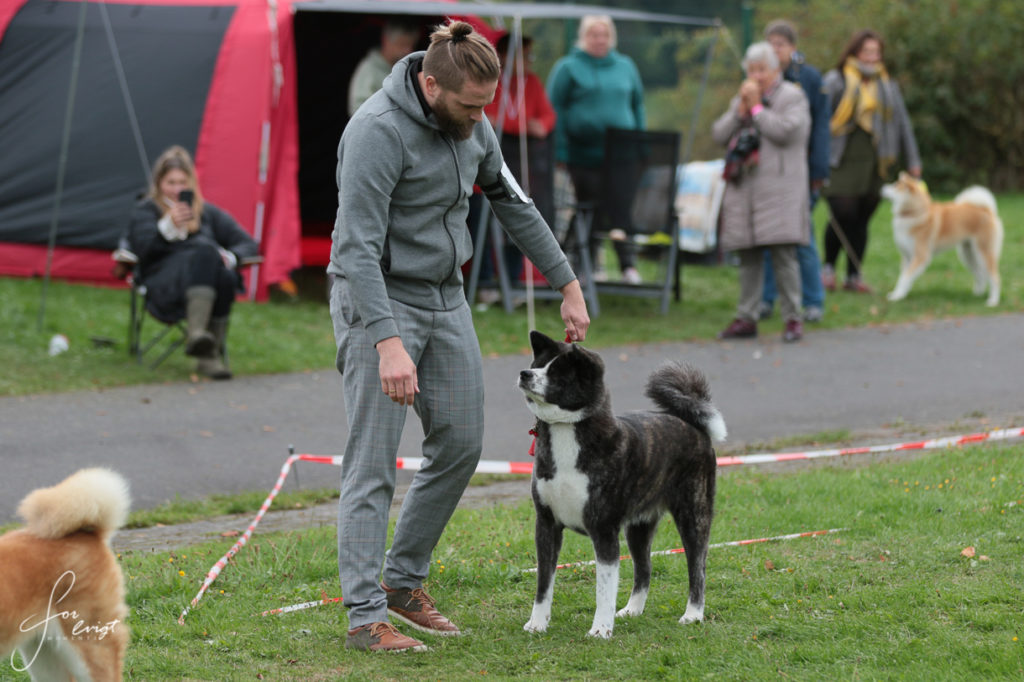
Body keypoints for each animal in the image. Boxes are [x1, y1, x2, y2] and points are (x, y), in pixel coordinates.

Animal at [516, 329, 724, 638]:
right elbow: (544, 583)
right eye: (539, 363)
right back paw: (632, 610)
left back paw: (693, 614)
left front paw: (600, 629)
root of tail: (693, 425)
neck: (567, 431)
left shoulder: (603, 529)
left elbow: (604, 588)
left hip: (693, 515)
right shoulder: (546, 525)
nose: (525, 373)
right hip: (639, 526)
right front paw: (537, 624)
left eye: (557, 373)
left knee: (697, 566)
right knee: (644, 568)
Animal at [876, 173, 1003, 305]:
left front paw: (897, 296)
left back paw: (993, 301)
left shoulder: (921, 256)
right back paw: (977, 295)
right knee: (980, 274)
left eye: (895, 185)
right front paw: (899, 294)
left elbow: (905, 278)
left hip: (983, 253)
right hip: (968, 255)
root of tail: (987, 210)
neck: (914, 213)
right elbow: (902, 277)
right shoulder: (907, 257)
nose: (881, 188)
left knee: (995, 277)